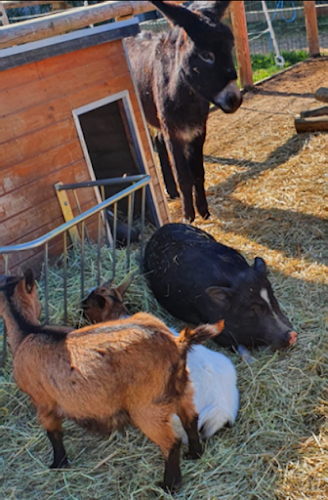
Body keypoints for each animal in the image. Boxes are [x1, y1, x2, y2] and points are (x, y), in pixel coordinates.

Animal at [0, 272, 224, 490]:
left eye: (86, 306)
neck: (27, 331)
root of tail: (177, 343)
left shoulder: (43, 402)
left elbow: (54, 434)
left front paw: (58, 464)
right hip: (183, 389)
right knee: (191, 419)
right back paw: (194, 454)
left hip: (148, 407)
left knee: (171, 442)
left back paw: (168, 485)